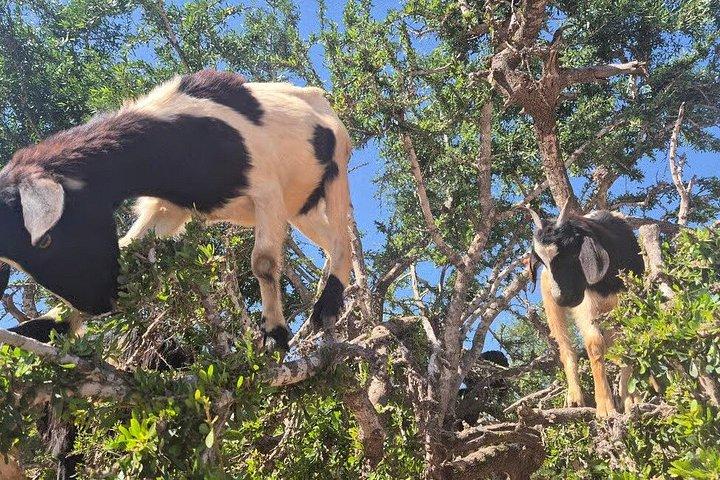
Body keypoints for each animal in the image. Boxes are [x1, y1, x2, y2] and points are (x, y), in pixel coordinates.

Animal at [0, 70, 353, 351]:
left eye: (45, 241)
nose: (102, 304)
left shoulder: (265, 190)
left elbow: (263, 263)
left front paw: (274, 334)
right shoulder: (168, 209)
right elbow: (130, 250)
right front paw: (41, 328)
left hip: (336, 170)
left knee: (341, 239)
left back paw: (328, 305)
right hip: (301, 207)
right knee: (327, 238)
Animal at [527, 200, 644, 417]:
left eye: (572, 251)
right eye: (541, 261)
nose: (562, 298)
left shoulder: (629, 299)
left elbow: (628, 342)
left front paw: (630, 399)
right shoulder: (586, 301)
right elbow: (594, 344)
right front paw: (605, 408)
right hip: (551, 304)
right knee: (565, 346)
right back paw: (574, 397)